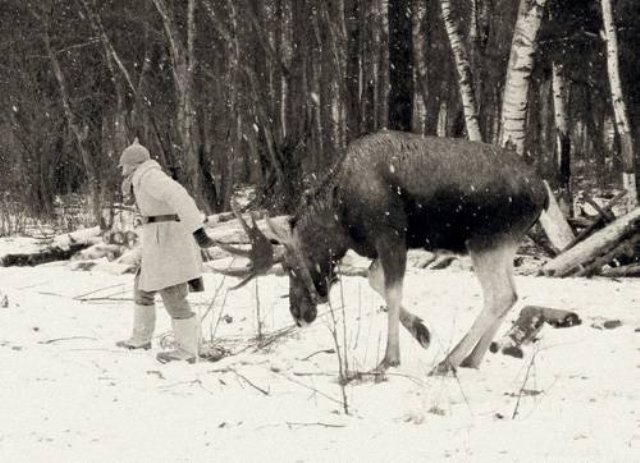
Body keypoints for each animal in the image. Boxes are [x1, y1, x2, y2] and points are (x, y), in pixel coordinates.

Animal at [224, 130, 544, 376]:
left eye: (289, 266)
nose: (298, 314)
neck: (341, 220)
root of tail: (543, 194)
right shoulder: (384, 245)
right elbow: (373, 279)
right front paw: (422, 331)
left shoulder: (391, 236)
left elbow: (392, 291)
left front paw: (389, 359)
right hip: (505, 246)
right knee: (512, 295)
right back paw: (471, 359)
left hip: (485, 241)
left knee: (499, 295)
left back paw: (447, 362)